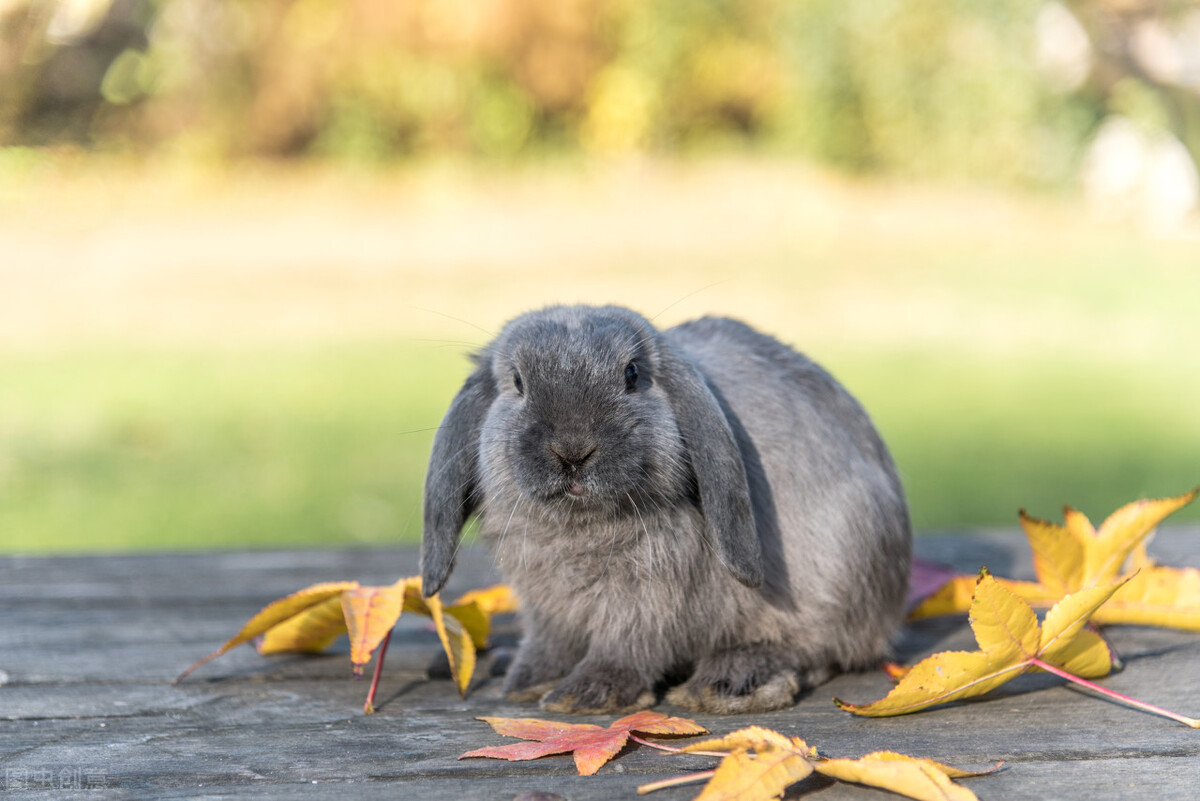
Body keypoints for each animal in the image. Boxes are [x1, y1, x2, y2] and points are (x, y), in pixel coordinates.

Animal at [422, 304, 907, 714]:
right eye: (518, 382)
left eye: (632, 374)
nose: (573, 450)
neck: (582, 524)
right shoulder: (546, 609)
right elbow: (549, 643)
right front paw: (528, 682)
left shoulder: (649, 598)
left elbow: (627, 646)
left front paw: (585, 696)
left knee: (817, 647)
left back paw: (729, 682)